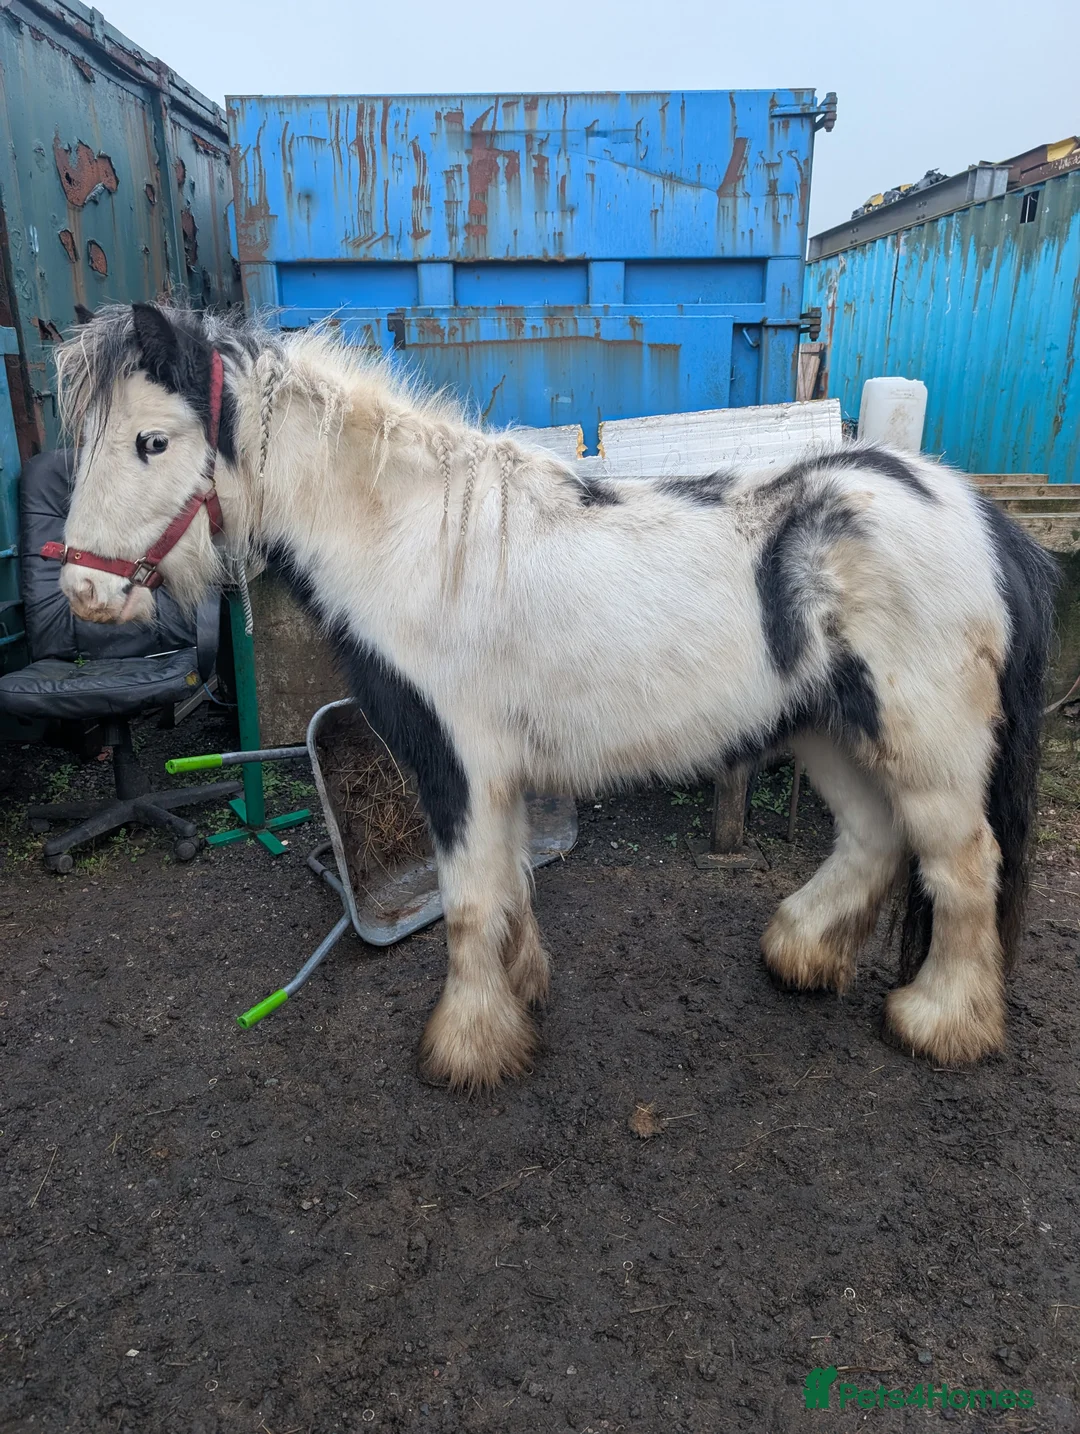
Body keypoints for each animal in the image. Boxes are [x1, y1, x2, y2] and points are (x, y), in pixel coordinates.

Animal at [50, 302, 1057, 1091]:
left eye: (151, 442)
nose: (85, 594)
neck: (415, 544)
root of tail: (980, 515)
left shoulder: (456, 762)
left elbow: (466, 897)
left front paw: (466, 1045)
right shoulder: (489, 770)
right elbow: (508, 882)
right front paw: (519, 993)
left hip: (924, 744)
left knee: (963, 864)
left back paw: (942, 1023)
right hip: (829, 731)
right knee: (874, 837)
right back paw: (801, 955)